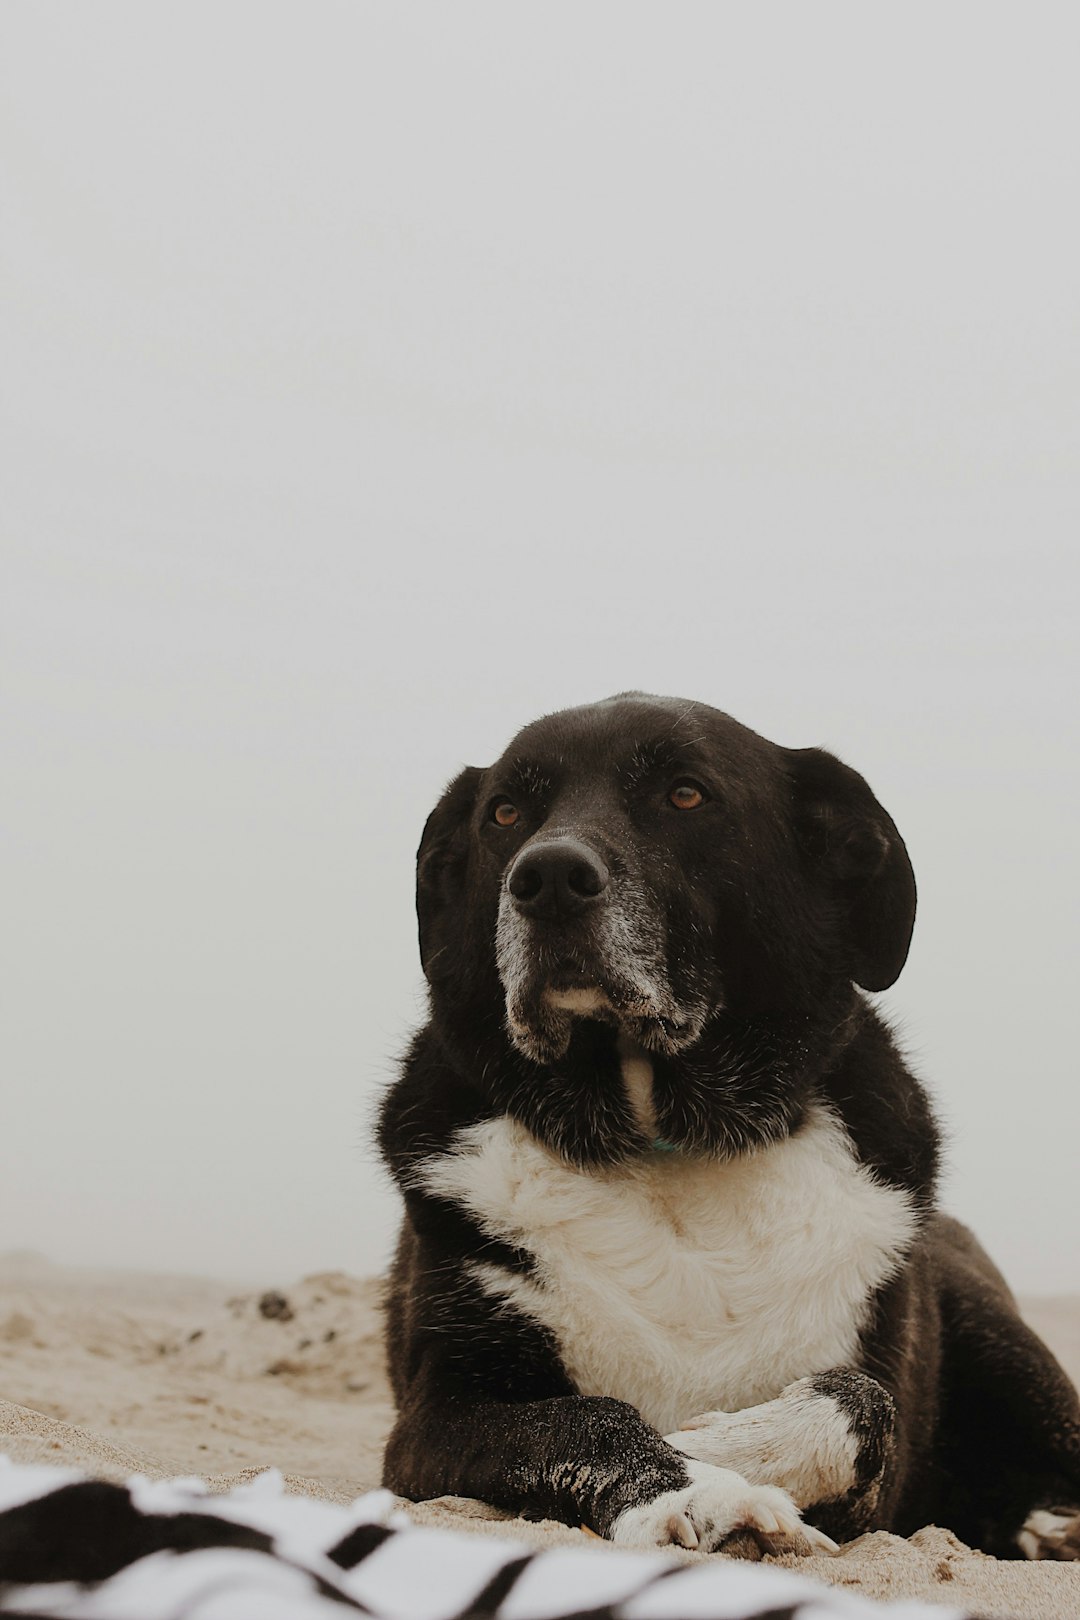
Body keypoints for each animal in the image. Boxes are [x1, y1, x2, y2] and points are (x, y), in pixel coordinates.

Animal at [378, 693, 1080, 1555]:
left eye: (686, 794)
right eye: (505, 812)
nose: (545, 879)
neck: (664, 1140)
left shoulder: (878, 1480)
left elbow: (867, 1404)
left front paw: (710, 1446)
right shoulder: (433, 1417)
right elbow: (583, 1416)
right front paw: (696, 1485)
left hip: (1006, 1341)